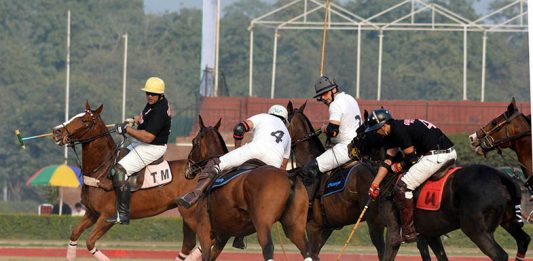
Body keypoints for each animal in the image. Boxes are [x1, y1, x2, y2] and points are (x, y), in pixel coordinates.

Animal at [52, 101, 205, 260]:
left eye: (84, 120)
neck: (102, 170)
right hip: (187, 214)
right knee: (189, 243)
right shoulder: (92, 213)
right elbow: (74, 234)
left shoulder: (107, 216)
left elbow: (89, 242)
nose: (56, 131)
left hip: (191, 213)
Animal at [184, 119, 312, 258]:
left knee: (268, 247)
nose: (188, 169)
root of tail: (289, 175)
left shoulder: (204, 229)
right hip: (295, 226)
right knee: (307, 250)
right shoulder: (222, 236)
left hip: (262, 222)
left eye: (194, 142)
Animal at [352, 109, 528, 260]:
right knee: (523, 240)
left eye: (360, 134)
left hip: (477, 230)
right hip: (507, 221)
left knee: (500, 255)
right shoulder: (430, 235)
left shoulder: (394, 232)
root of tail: (501, 176)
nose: (350, 148)